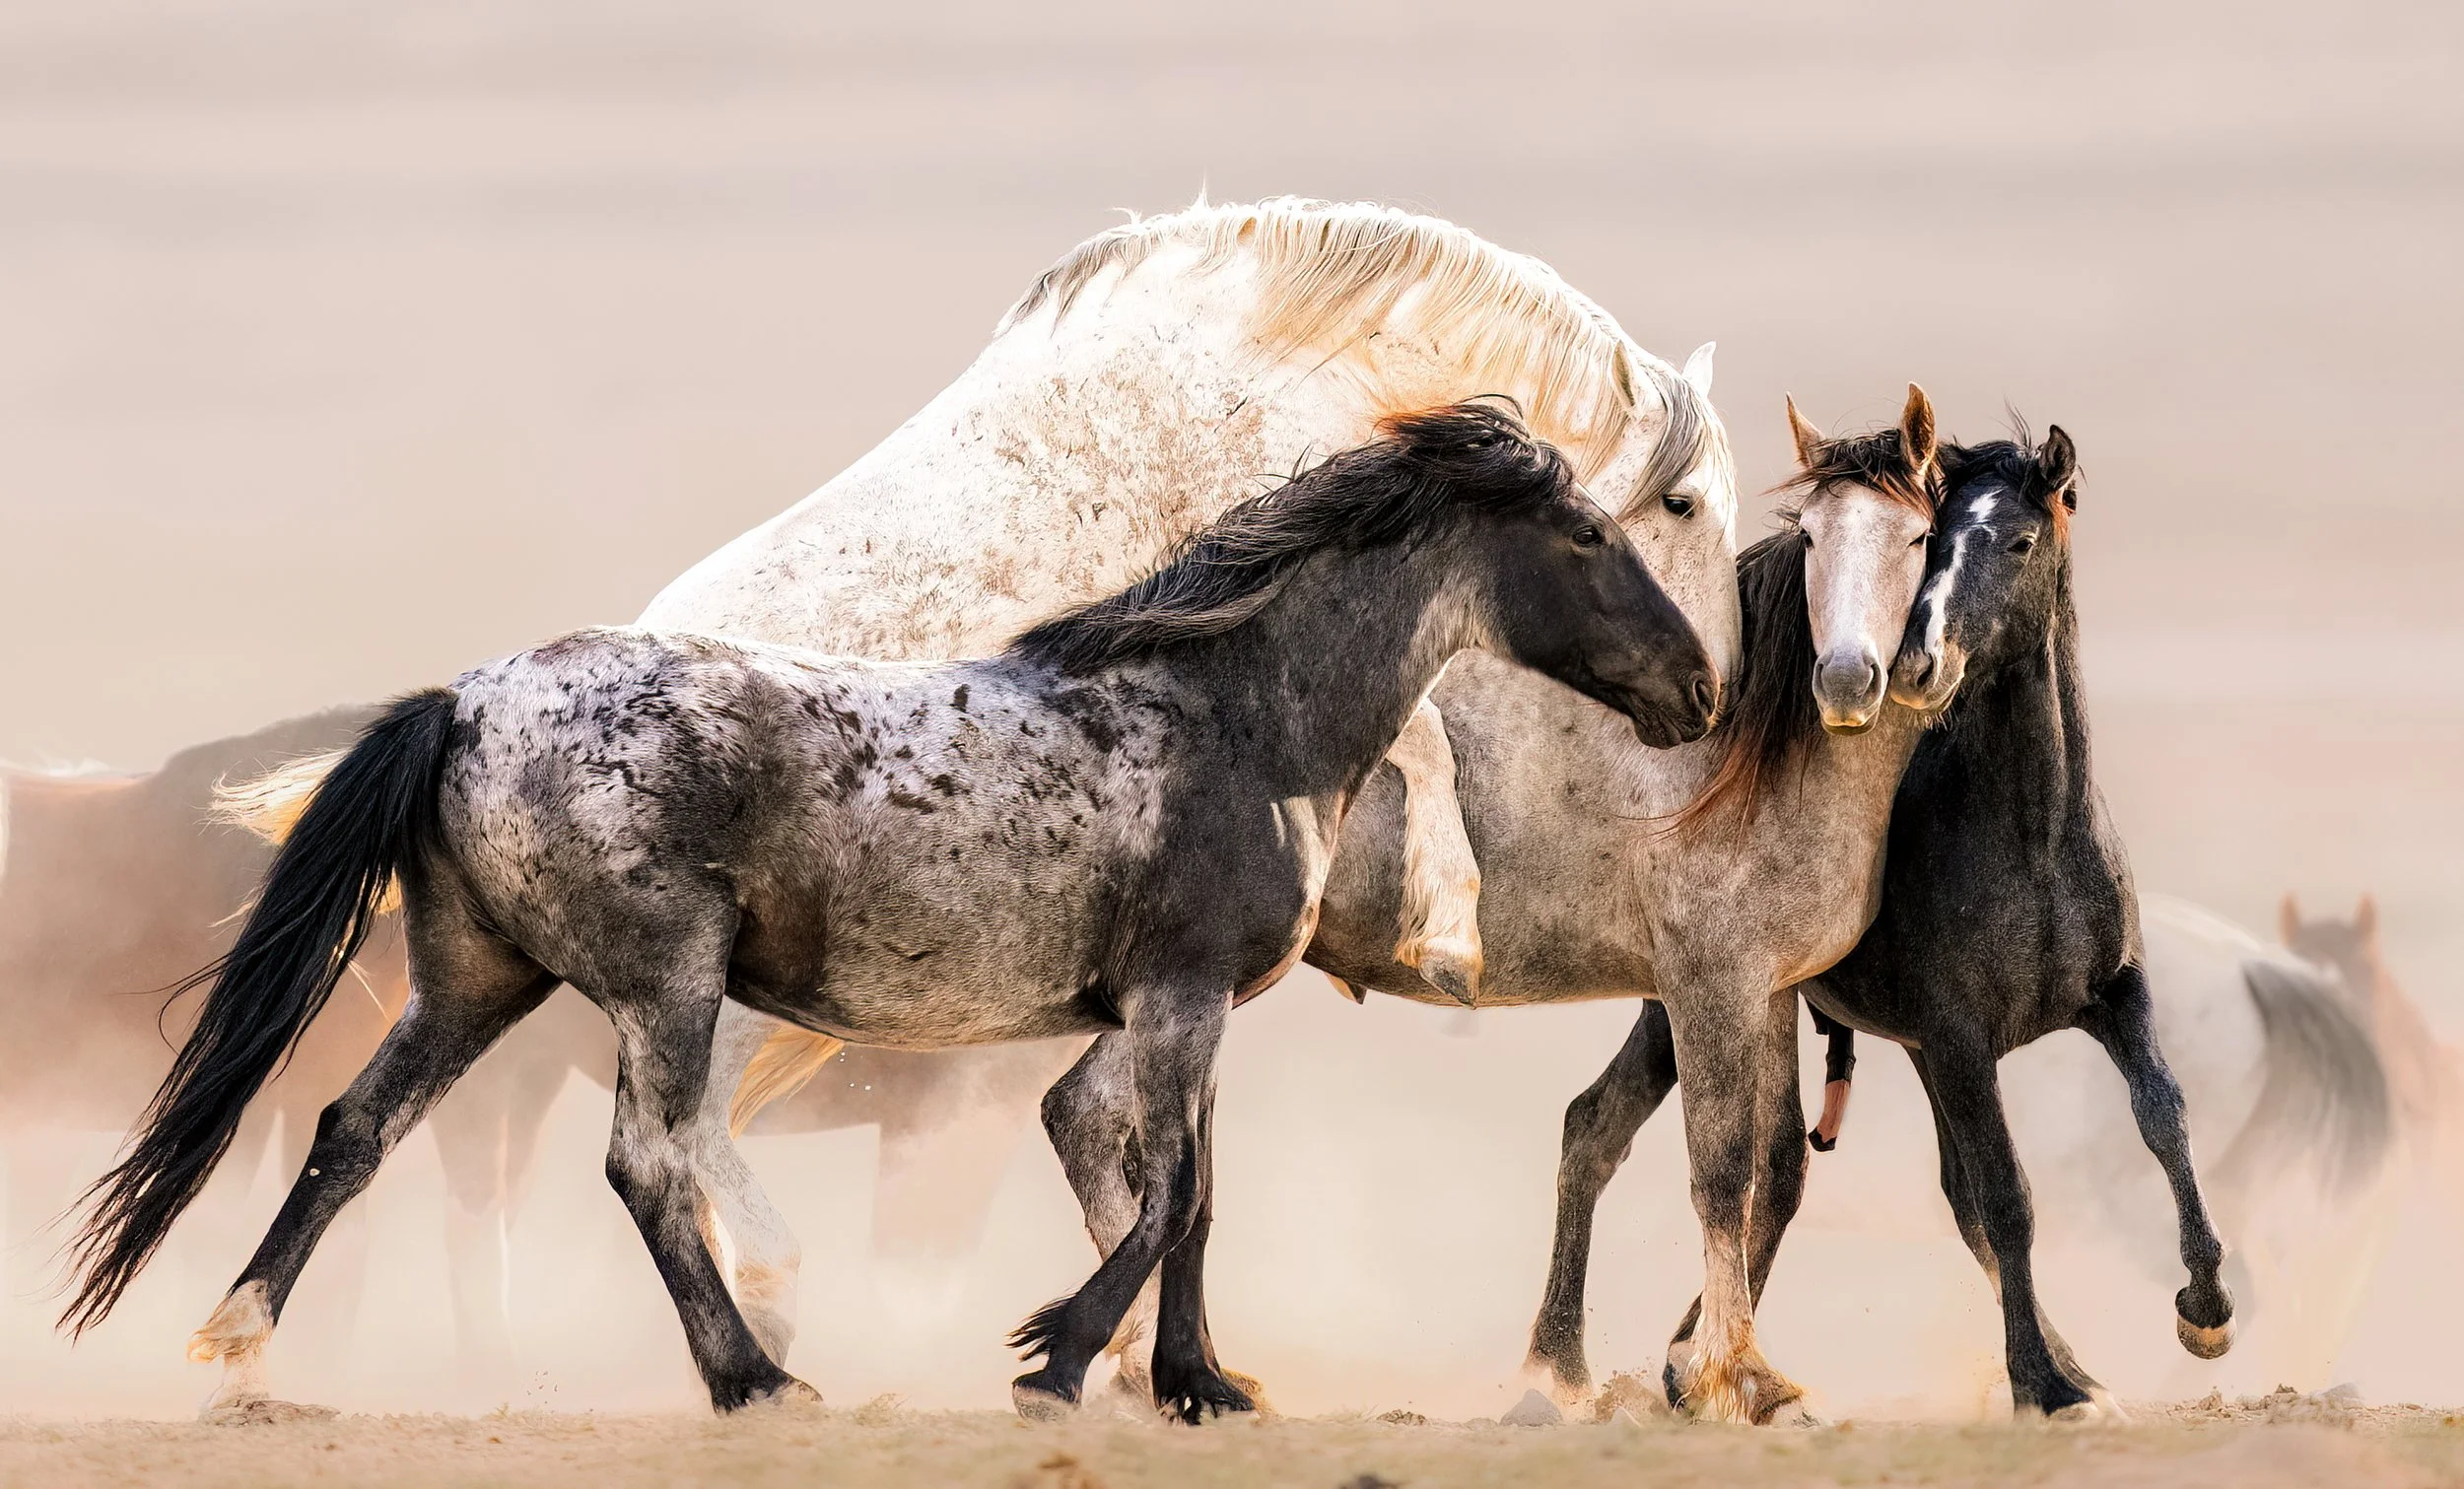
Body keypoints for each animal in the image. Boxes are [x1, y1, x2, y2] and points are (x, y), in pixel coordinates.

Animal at [215, 195, 1746, 1406]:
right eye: (1625, 522)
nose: (1710, 695)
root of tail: (466, 700)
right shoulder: (1179, 969)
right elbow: (1174, 1177)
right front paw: (1067, 1354)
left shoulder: (1182, 996)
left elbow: (1187, 1187)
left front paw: (1179, 1372)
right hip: (673, 987)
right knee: (661, 1155)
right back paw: (756, 1360)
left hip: (489, 978)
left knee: (368, 1128)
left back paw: (244, 1344)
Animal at [1045, 388, 1950, 1424]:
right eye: (1808, 537)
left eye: (1922, 535)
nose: (1849, 679)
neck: (1759, 758)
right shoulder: (1708, 986)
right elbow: (1723, 1169)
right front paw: (1729, 1375)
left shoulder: (1767, 991)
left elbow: (1777, 1167)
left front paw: (1723, 1372)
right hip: (1190, 987)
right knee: (1090, 1116)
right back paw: (1137, 1360)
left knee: (1092, 1117)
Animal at [1520, 427, 2241, 1419]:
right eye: (1932, 543)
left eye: (2019, 540)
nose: (1917, 667)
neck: (2033, 838)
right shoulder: (1959, 1040)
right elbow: (2007, 1196)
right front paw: (2039, 1382)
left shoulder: (2113, 997)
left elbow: (2161, 1115)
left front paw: (2203, 1309)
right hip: (1700, 1006)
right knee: (1615, 1131)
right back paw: (1601, 1363)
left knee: (1760, 1164)